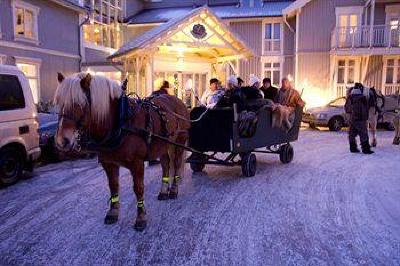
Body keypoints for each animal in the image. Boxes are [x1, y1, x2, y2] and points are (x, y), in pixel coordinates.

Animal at [54, 73, 190, 231]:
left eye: (79, 103)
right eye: (59, 103)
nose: (61, 141)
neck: (120, 122)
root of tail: (179, 101)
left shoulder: (137, 163)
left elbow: (138, 188)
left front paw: (141, 217)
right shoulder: (108, 163)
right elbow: (113, 186)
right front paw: (113, 212)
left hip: (179, 140)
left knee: (177, 163)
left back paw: (173, 190)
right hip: (162, 145)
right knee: (166, 165)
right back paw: (163, 191)